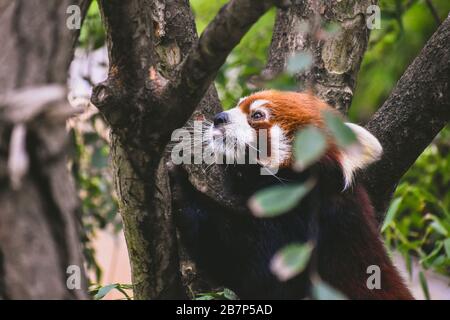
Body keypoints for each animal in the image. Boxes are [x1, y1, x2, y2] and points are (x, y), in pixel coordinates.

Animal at [170, 89, 414, 298]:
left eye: (257, 115)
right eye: (239, 105)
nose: (218, 118)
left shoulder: (310, 226)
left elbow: (257, 271)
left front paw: (182, 189)